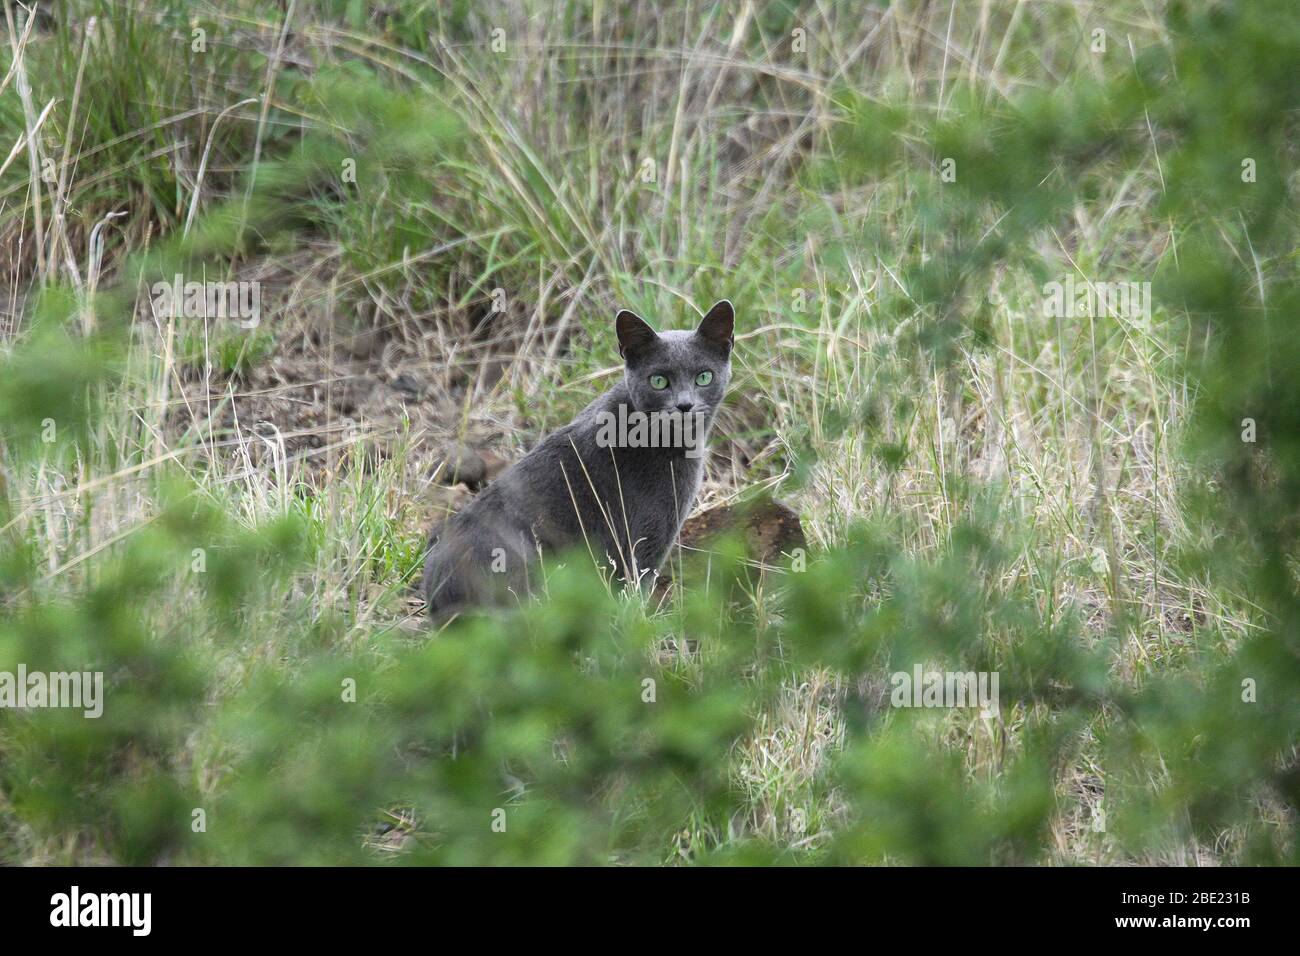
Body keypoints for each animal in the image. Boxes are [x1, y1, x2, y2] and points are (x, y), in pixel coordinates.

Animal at [423, 297, 738, 621]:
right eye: (659, 381)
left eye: (704, 377)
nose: (684, 405)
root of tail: (440, 596)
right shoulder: (645, 539)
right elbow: (633, 595)